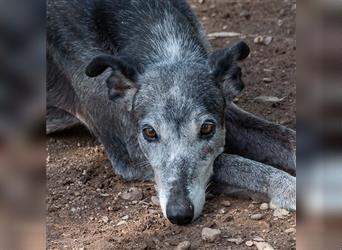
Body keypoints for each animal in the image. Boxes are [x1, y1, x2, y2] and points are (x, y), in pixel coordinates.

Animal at [46, 0, 296, 225]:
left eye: (207, 128)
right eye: (149, 132)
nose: (179, 214)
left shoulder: (228, 111)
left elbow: (287, 140)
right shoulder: (131, 153)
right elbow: (238, 164)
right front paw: (291, 188)